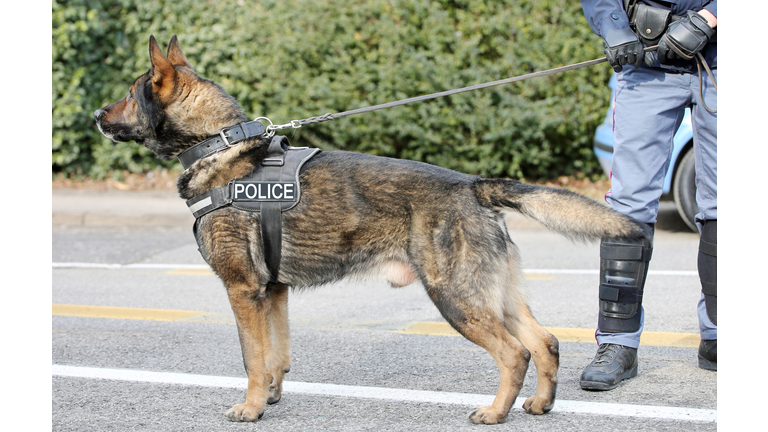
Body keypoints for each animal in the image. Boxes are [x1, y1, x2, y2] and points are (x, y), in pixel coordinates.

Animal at [94, 35, 648, 424]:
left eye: (129, 93)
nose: (97, 115)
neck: (219, 144)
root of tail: (473, 185)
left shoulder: (243, 290)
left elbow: (252, 357)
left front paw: (249, 409)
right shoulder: (274, 293)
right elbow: (276, 355)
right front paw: (270, 398)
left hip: (454, 298)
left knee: (515, 353)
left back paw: (495, 412)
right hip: (495, 295)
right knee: (545, 342)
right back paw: (539, 405)